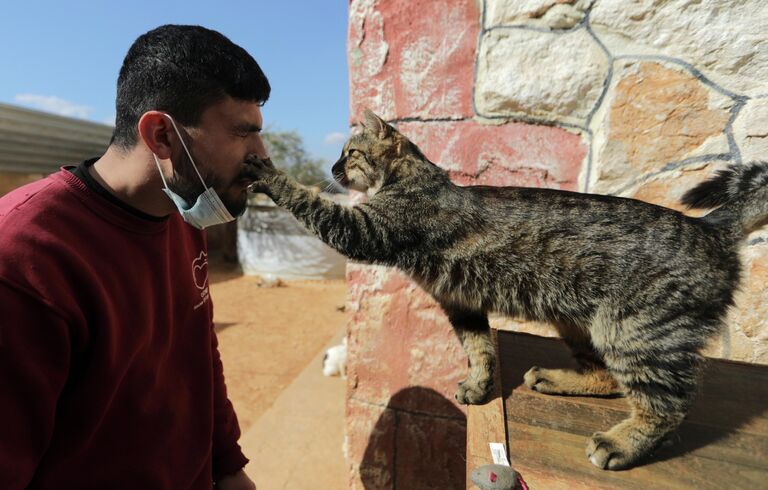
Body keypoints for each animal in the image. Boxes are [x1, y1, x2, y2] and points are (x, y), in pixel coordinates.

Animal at [248, 109, 768, 468]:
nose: (333, 169)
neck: (413, 180)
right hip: (583, 325)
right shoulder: (460, 302)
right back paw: (556, 379)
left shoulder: (360, 230)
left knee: (667, 407)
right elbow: (479, 351)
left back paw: (621, 443)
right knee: (607, 378)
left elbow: (308, 202)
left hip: (635, 333)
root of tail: (710, 228)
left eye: (349, 153)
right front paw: (479, 386)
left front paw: (269, 173)